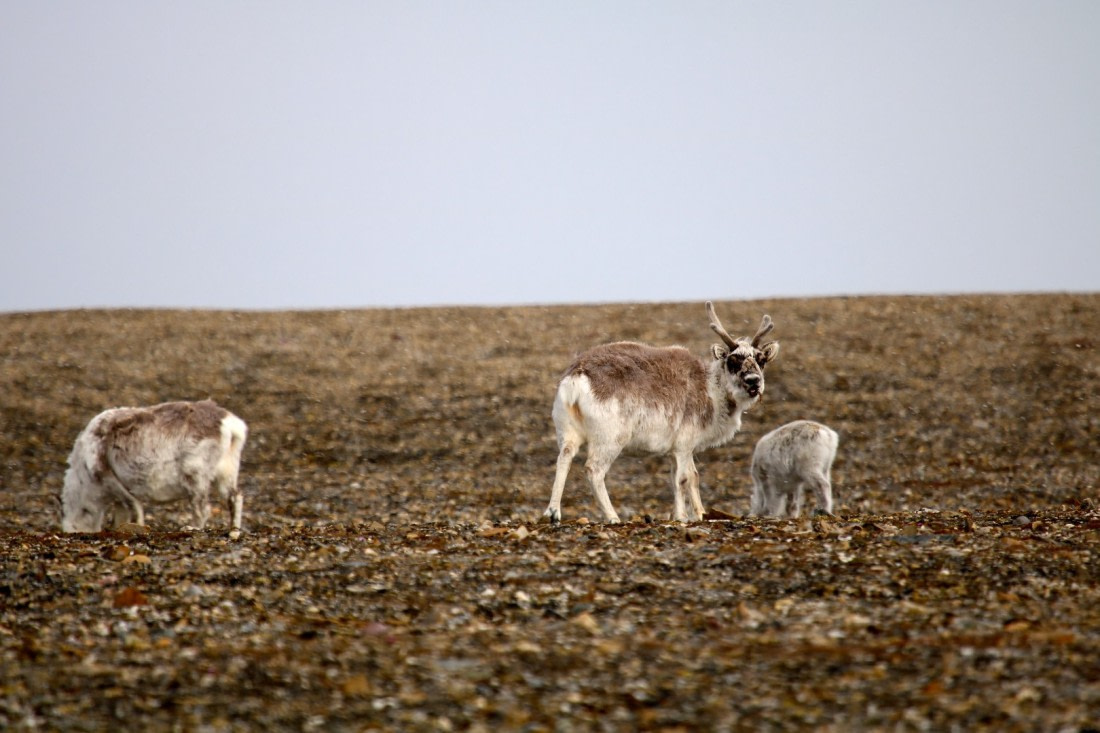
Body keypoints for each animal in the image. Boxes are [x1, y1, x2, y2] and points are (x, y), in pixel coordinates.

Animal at [59, 400, 248, 533]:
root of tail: (229, 424)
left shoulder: (109, 478)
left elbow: (133, 506)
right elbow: (121, 513)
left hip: (195, 476)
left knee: (203, 509)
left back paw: (192, 528)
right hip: (227, 471)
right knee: (235, 496)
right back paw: (234, 531)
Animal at [542, 301, 779, 524]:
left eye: (761, 360)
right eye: (732, 361)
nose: (753, 382)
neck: (711, 388)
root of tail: (577, 377)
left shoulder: (679, 449)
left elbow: (691, 477)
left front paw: (700, 514)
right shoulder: (683, 444)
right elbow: (683, 479)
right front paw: (682, 516)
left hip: (567, 432)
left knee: (564, 458)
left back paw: (553, 513)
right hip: (610, 440)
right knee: (593, 470)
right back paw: (612, 516)